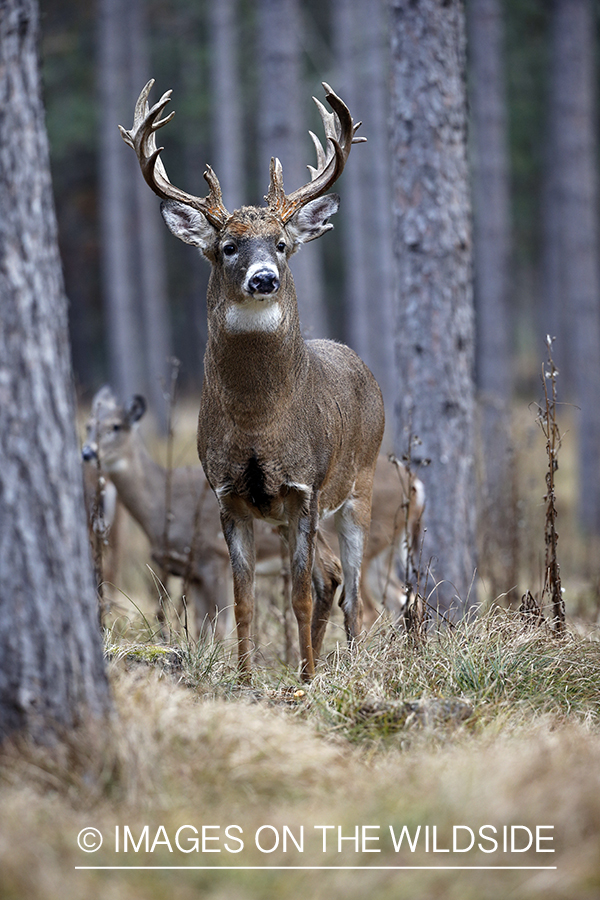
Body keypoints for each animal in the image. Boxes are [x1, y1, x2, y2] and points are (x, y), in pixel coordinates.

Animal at [119, 81, 386, 684]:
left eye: (281, 244)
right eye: (228, 247)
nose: (263, 279)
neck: (260, 423)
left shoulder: (306, 489)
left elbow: (298, 597)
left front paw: (307, 682)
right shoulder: (230, 495)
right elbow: (241, 604)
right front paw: (244, 678)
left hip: (358, 486)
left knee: (351, 591)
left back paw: (352, 666)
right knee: (330, 578)